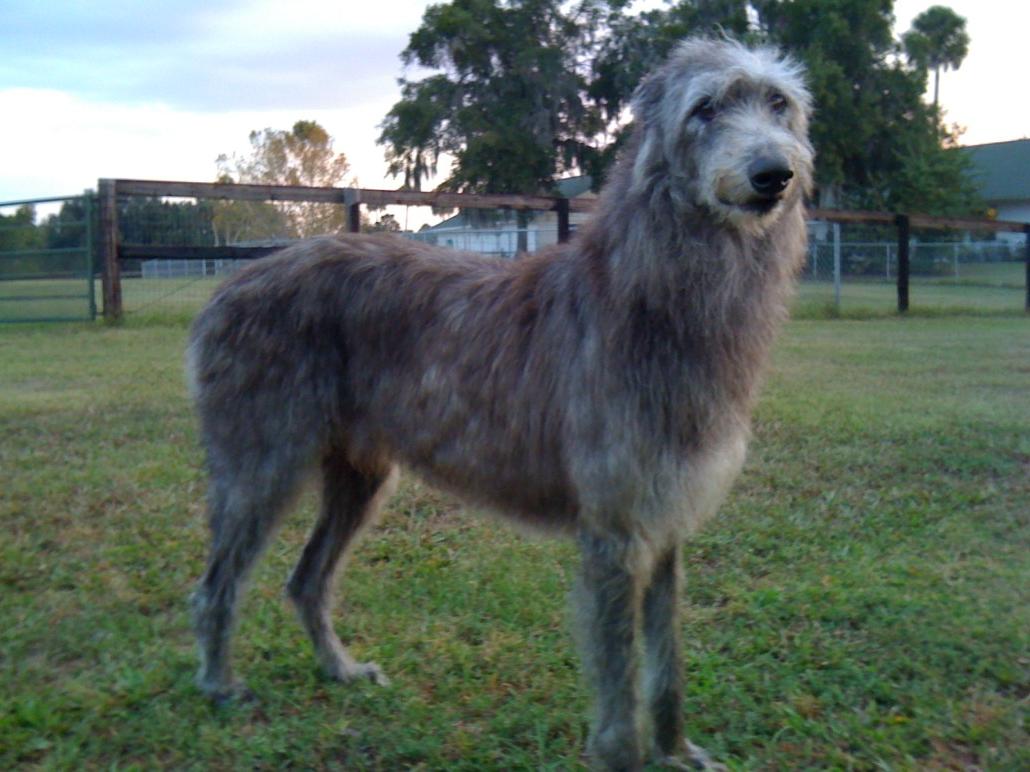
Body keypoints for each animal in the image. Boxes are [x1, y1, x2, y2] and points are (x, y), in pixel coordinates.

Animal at [187, 37, 811, 772]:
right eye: (705, 108)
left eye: (779, 103)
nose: (774, 174)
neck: (648, 296)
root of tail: (230, 286)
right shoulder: (614, 533)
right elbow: (620, 687)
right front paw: (634, 755)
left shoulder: (664, 522)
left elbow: (667, 665)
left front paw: (677, 751)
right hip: (261, 464)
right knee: (217, 586)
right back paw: (219, 684)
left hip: (359, 476)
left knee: (306, 580)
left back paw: (339, 670)